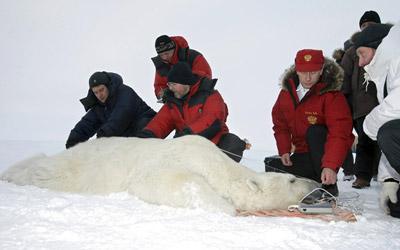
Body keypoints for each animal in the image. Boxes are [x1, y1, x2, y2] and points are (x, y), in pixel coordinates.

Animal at [0, 135, 318, 215]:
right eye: (291, 179)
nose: (315, 182)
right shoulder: (175, 160)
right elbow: (165, 181)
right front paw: (225, 207)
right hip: (61, 171)